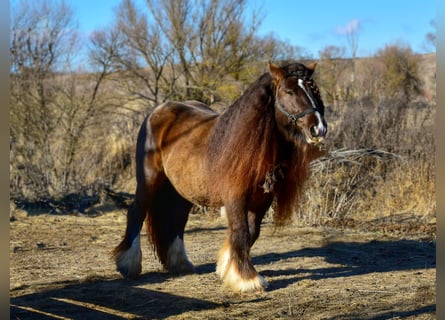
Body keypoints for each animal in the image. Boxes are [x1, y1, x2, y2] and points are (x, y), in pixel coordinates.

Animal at [111, 62, 326, 292]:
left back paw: (180, 264)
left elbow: (251, 233)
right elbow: (241, 232)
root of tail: (157, 112)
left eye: (314, 90)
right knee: (137, 212)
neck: (251, 146)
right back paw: (128, 265)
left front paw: (227, 268)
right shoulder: (235, 199)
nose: (319, 128)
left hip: (182, 190)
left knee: (177, 220)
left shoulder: (261, 202)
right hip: (148, 181)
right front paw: (248, 280)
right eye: (288, 91)